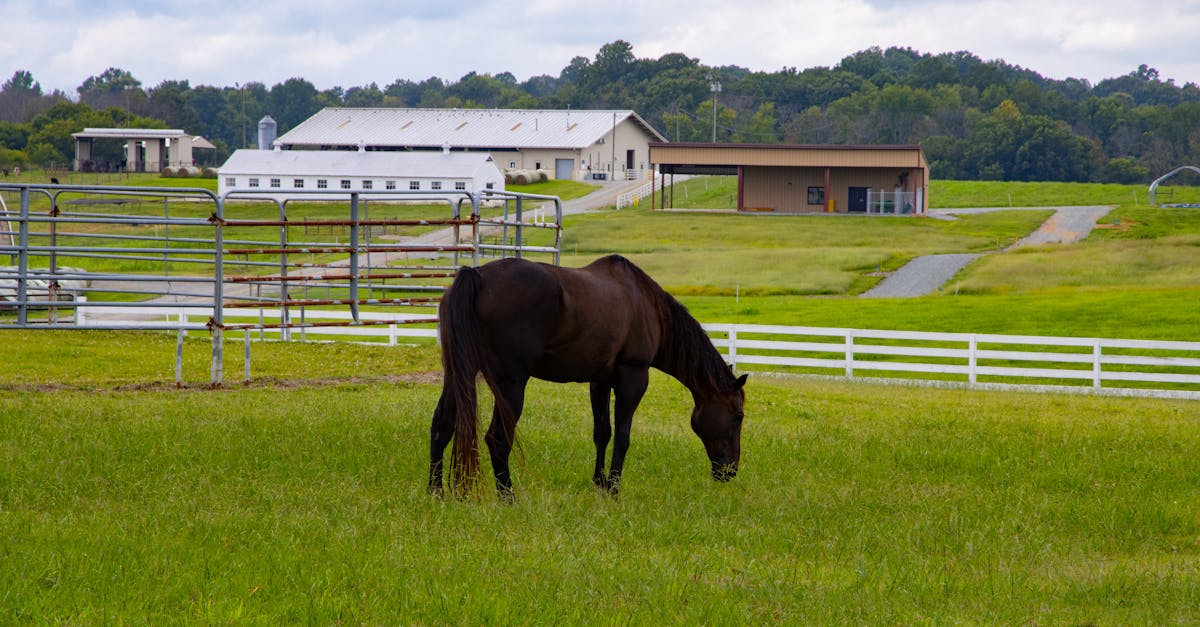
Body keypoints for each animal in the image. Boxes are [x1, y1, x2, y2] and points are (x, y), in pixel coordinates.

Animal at [428, 254, 747, 499]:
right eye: (738, 415)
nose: (731, 470)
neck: (646, 305)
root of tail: (477, 276)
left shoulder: (600, 381)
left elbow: (602, 433)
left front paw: (600, 483)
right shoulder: (633, 379)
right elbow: (622, 436)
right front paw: (614, 489)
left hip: (457, 375)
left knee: (441, 426)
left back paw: (436, 493)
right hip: (510, 386)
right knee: (497, 439)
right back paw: (509, 498)